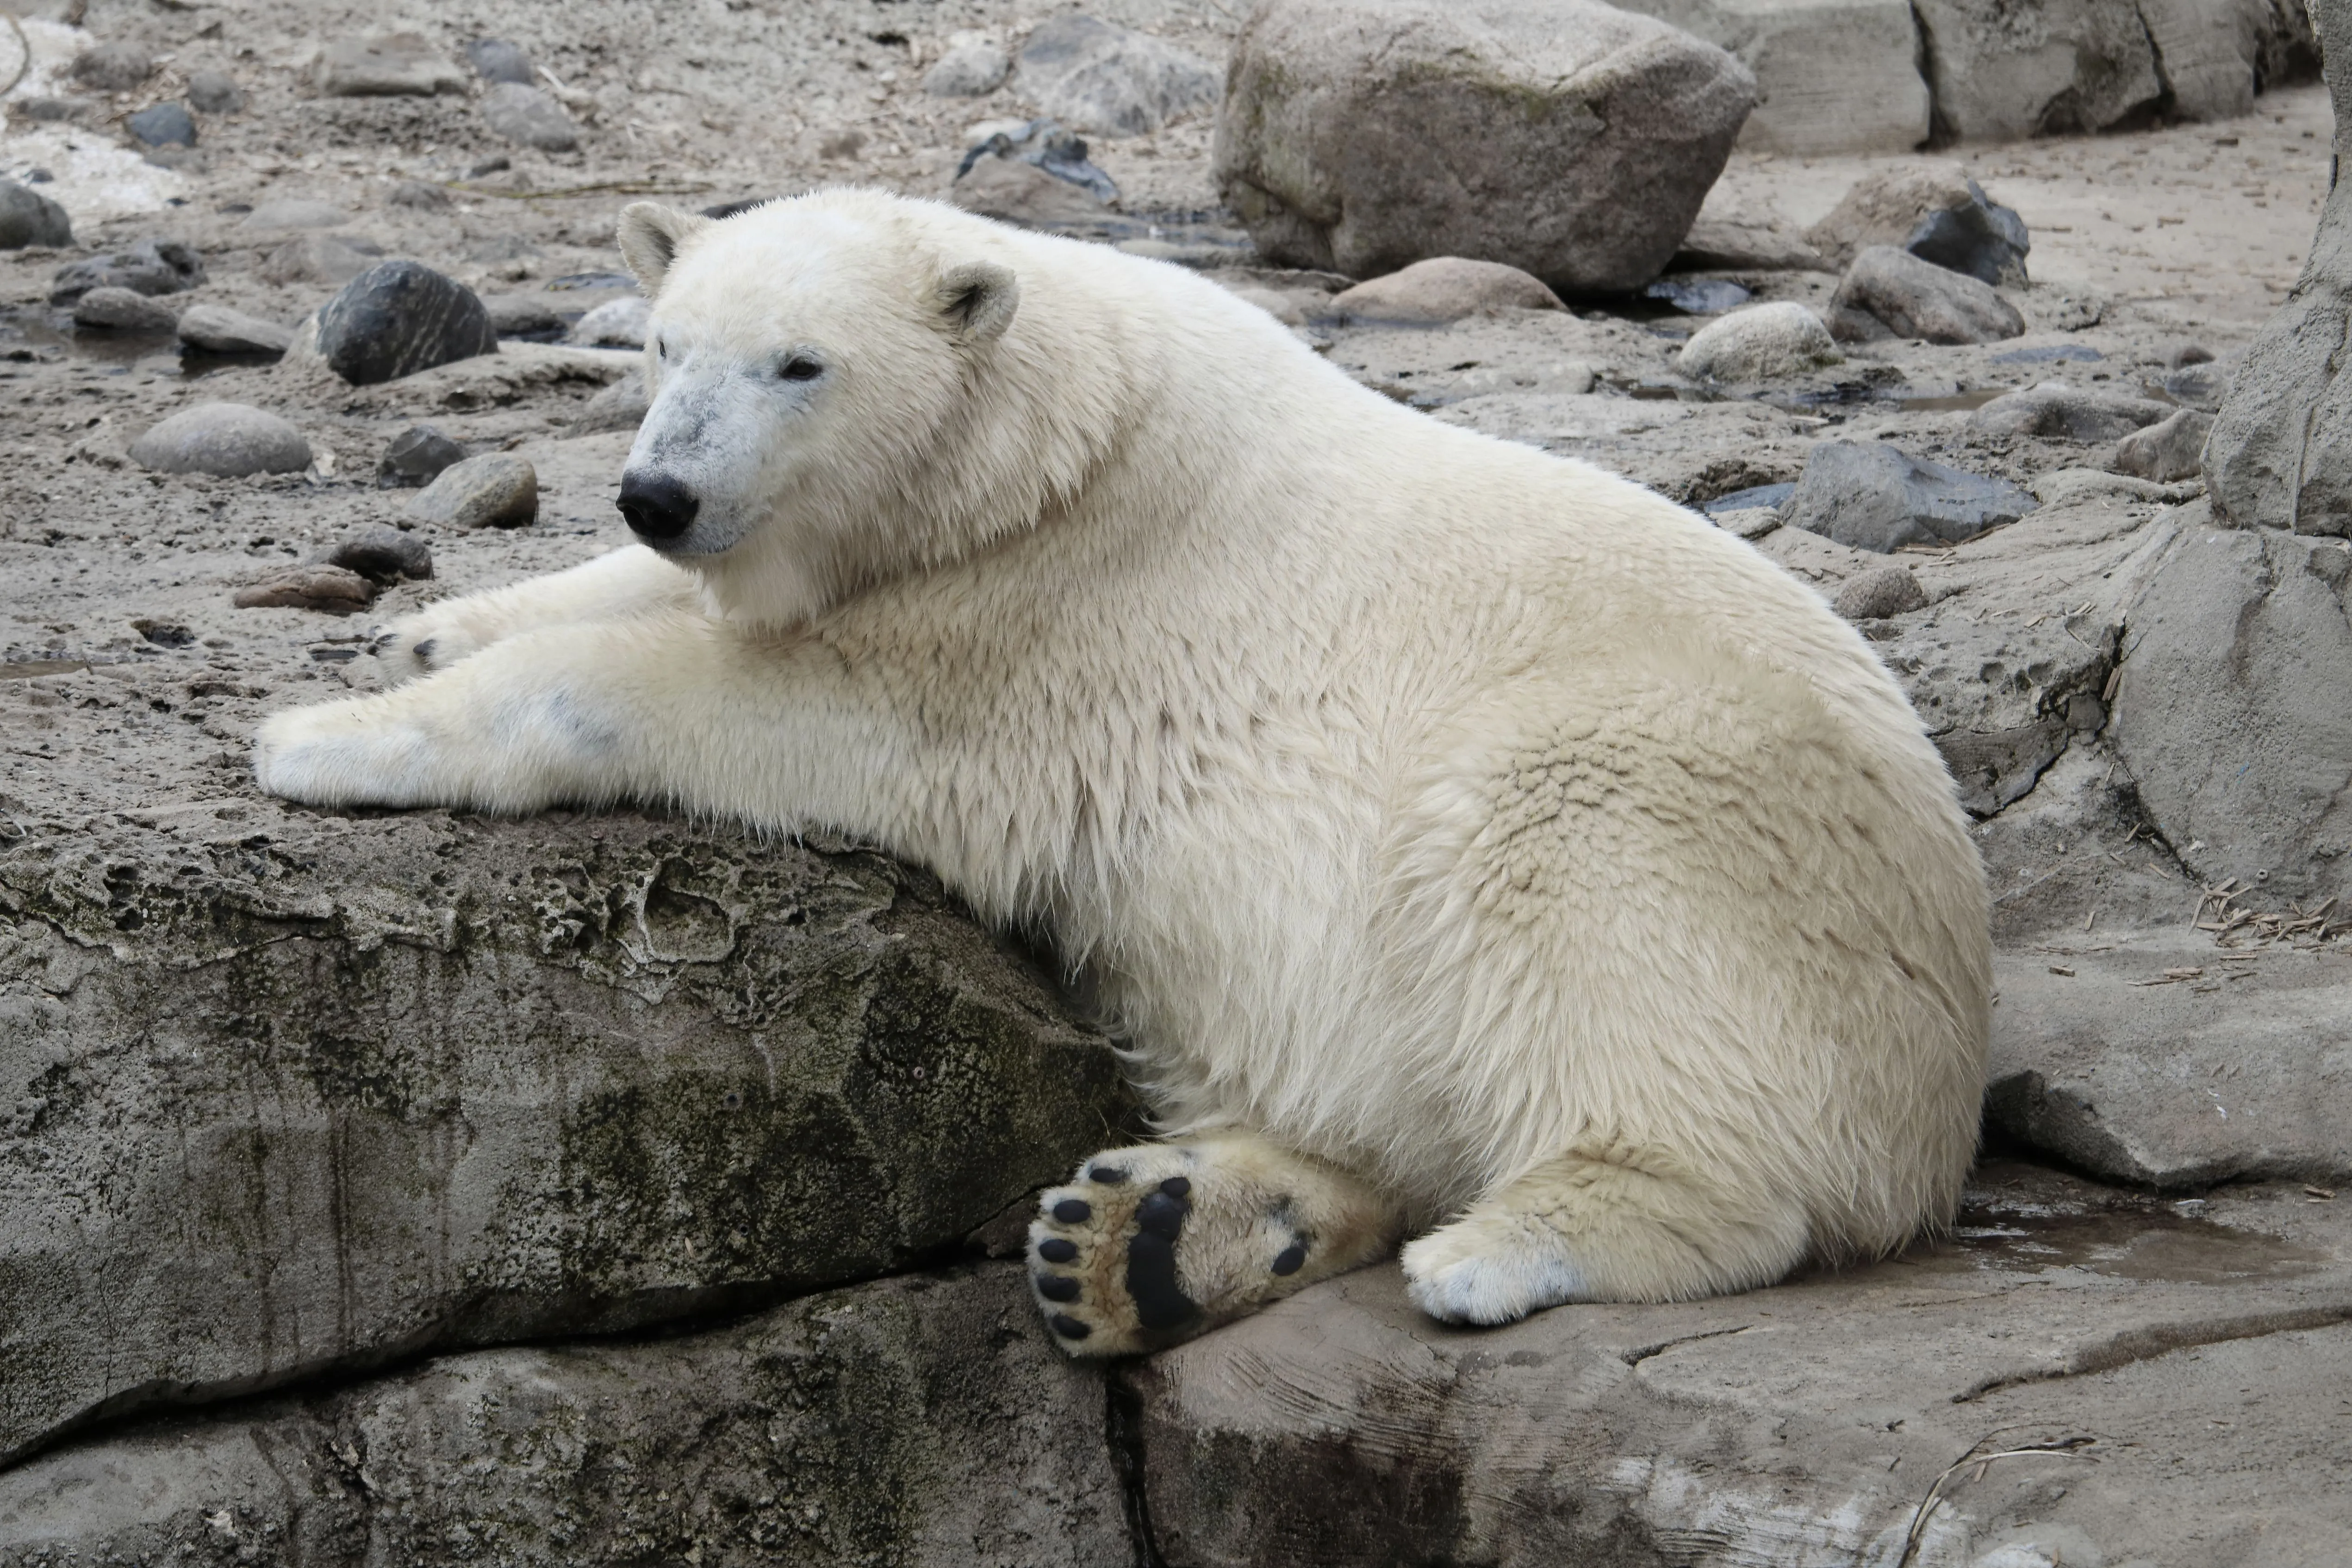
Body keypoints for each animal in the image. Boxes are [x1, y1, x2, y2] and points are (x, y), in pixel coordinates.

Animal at [253, 188, 1992, 1357]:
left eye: (799, 365)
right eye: (667, 342)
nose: (658, 490)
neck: (1049, 442)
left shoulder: (1035, 628)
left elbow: (758, 701)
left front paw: (325, 739)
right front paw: (430, 621)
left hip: (1666, 798)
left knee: (1583, 928)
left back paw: (1495, 1247)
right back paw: (1150, 1239)